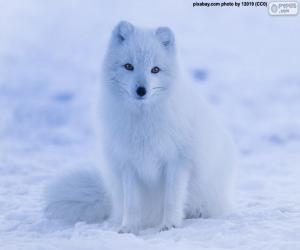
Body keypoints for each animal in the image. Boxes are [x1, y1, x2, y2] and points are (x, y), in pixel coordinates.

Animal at [44, 21, 237, 234]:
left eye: (155, 69)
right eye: (129, 66)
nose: (141, 90)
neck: (143, 121)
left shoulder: (177, 161)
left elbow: (171, 199)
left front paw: (169, 225)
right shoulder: (128, 163)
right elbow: (132, 203)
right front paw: (129, 228)